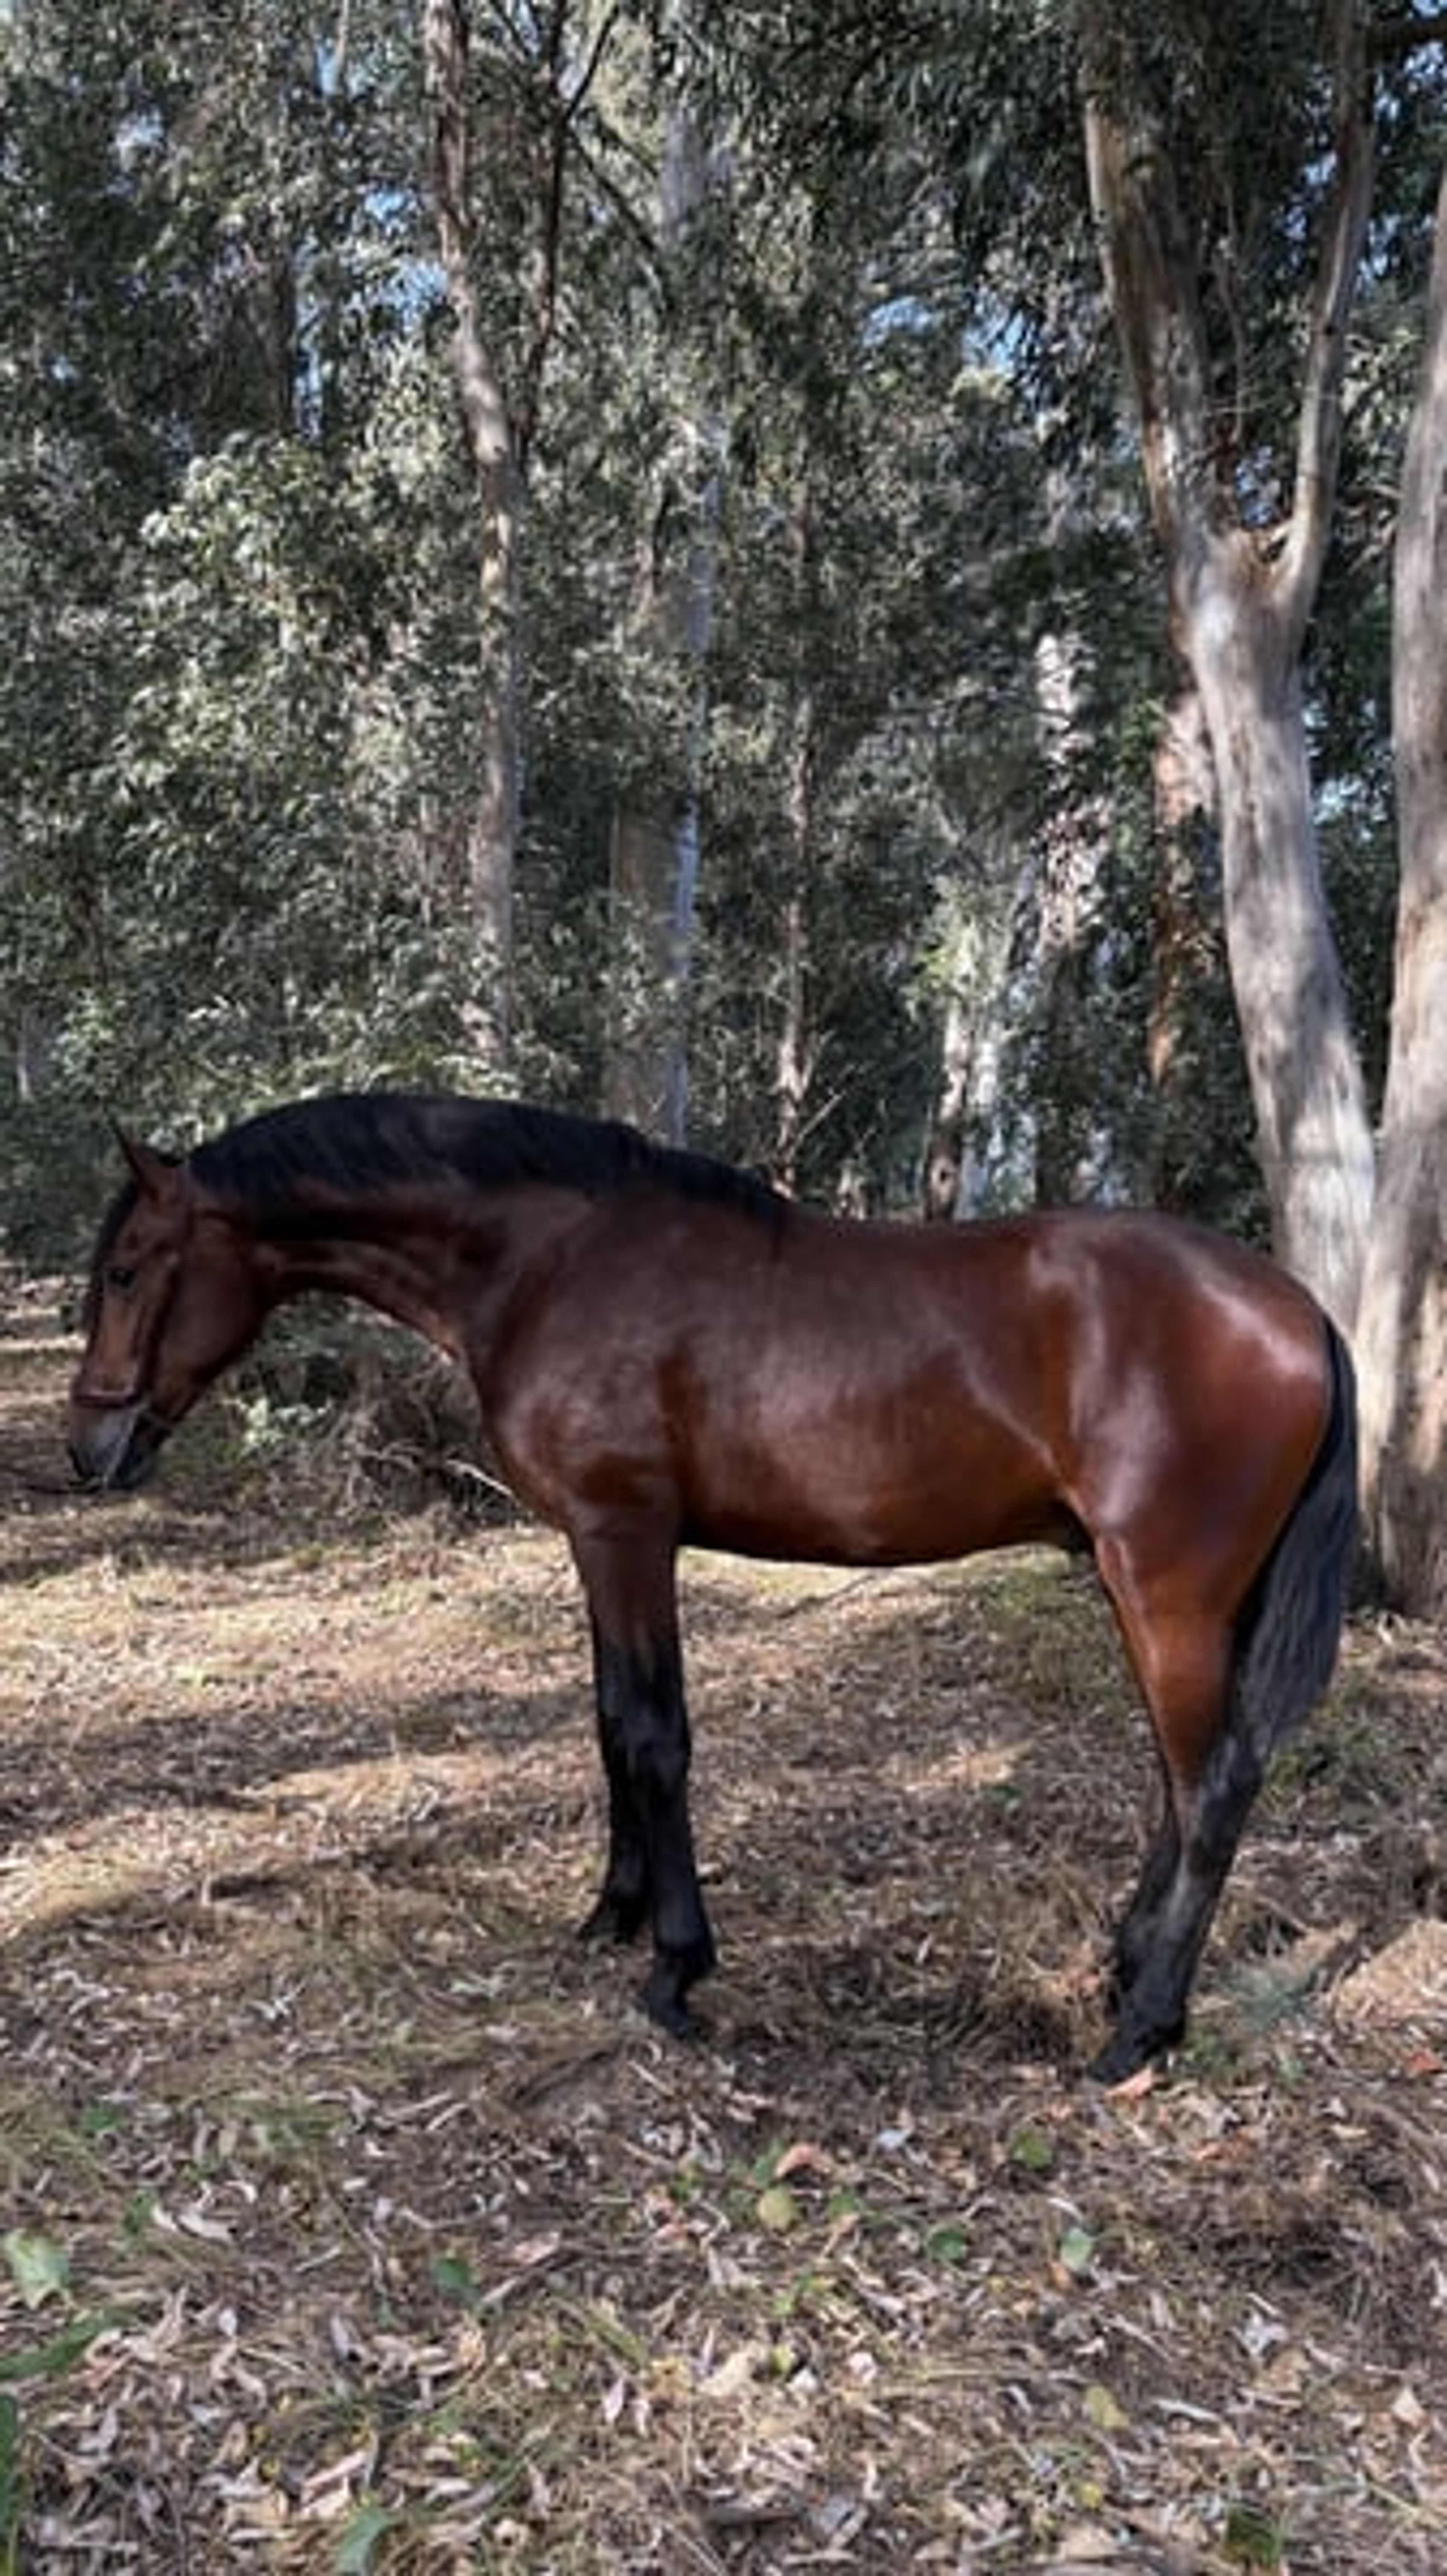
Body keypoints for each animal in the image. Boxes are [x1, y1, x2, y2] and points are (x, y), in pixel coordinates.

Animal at [67, 1091, 1358, 2081]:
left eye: (126, 1269)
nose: (89, 1448)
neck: (549, 1259)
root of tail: (1298, 1309)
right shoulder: (600, 1545)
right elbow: (608, 1724)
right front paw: (612, 1914)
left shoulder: (626, 1534)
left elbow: (652, 1735)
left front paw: (675, 1965)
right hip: (1172, 1600)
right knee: (1185, 1780)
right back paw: (1121, 1965)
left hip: (1166, 1594)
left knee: (1212, 1787)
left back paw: (1142, 2028)